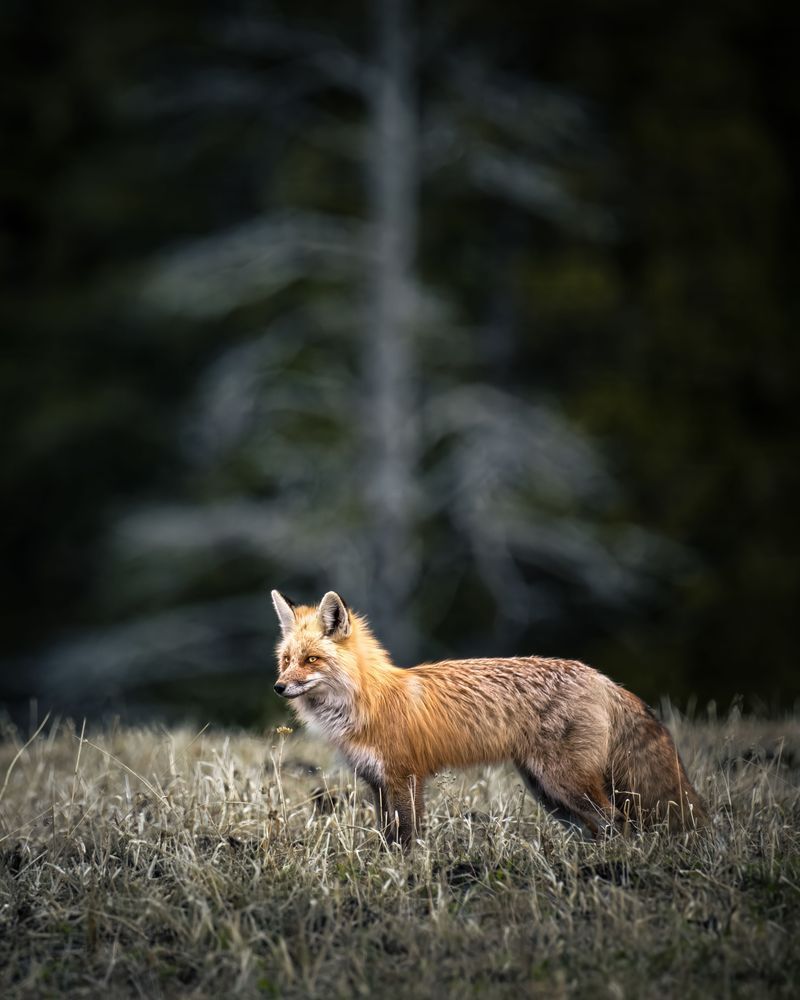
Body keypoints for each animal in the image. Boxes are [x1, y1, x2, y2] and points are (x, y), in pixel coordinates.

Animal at [270, 589, 708, 847]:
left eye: (312, 660)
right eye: (287, 660)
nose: (278, 687)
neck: (368, 701)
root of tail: (599, 676)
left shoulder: (404, 777)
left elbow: (407, 836)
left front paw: (405, 873)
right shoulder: (376, 782)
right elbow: (388, 834)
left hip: (564, 782)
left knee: (615, 820)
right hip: (549, 792)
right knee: (601, 826)